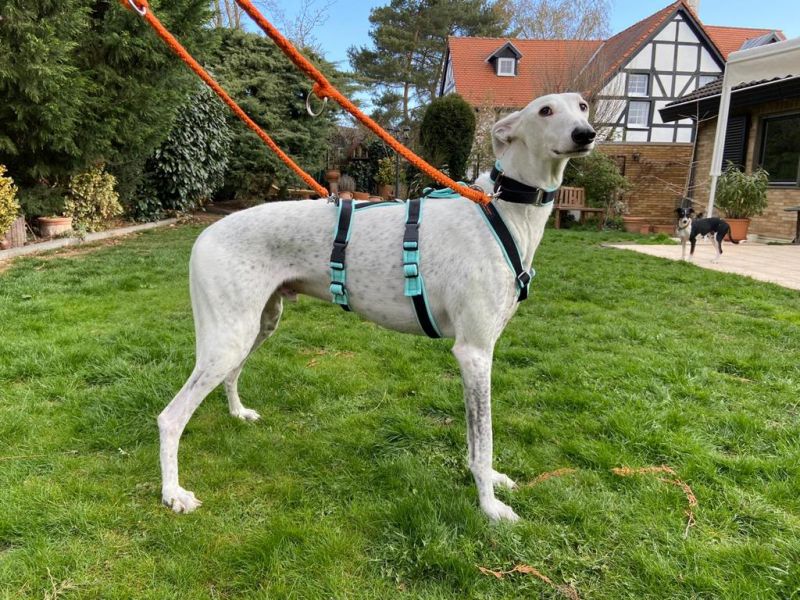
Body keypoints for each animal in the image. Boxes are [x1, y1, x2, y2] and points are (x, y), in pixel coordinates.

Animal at [158, 93, 596, 522]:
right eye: (545, 110)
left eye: (583, 106)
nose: (586, 134)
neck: (500, 210)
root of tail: (204, 235)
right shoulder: (474, 353)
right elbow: (482, 440)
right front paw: (490, 508)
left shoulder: (480, 352)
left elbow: (477, 443)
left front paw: (494, 482)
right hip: (229, 336)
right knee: (170, 417)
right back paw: (173, 493)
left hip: (259, 323)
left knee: (231, 375)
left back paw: (238, 413)